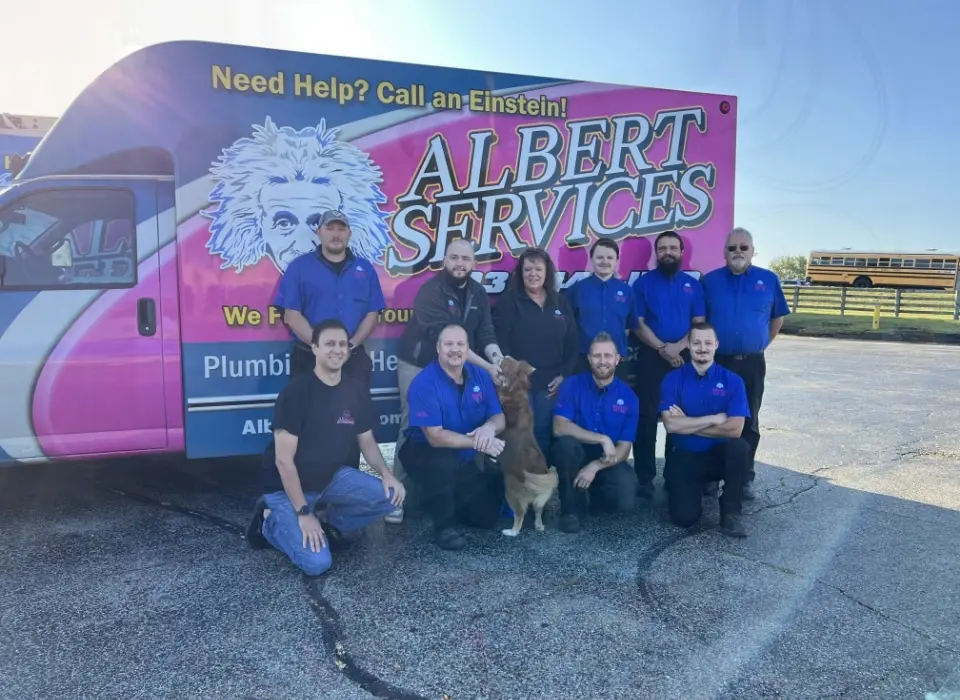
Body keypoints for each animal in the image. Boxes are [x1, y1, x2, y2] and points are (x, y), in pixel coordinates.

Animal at [498, 356, 560, 536]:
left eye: (504, 363)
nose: (500, 355)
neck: (515, 389)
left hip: (510, 491)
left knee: (520, 514)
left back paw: (511, 532)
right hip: (540, 499)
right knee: (538, 510)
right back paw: (539, 525)